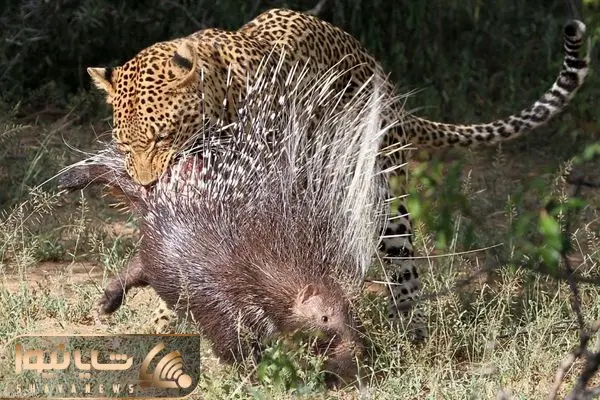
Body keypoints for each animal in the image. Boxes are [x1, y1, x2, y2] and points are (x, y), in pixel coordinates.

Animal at [83, 8, 589, 341]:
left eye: (162, 136)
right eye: (126, 145)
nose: (147, 184)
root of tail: (386, 84)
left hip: (383, 193)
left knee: (402, 264)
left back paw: (410, 334)